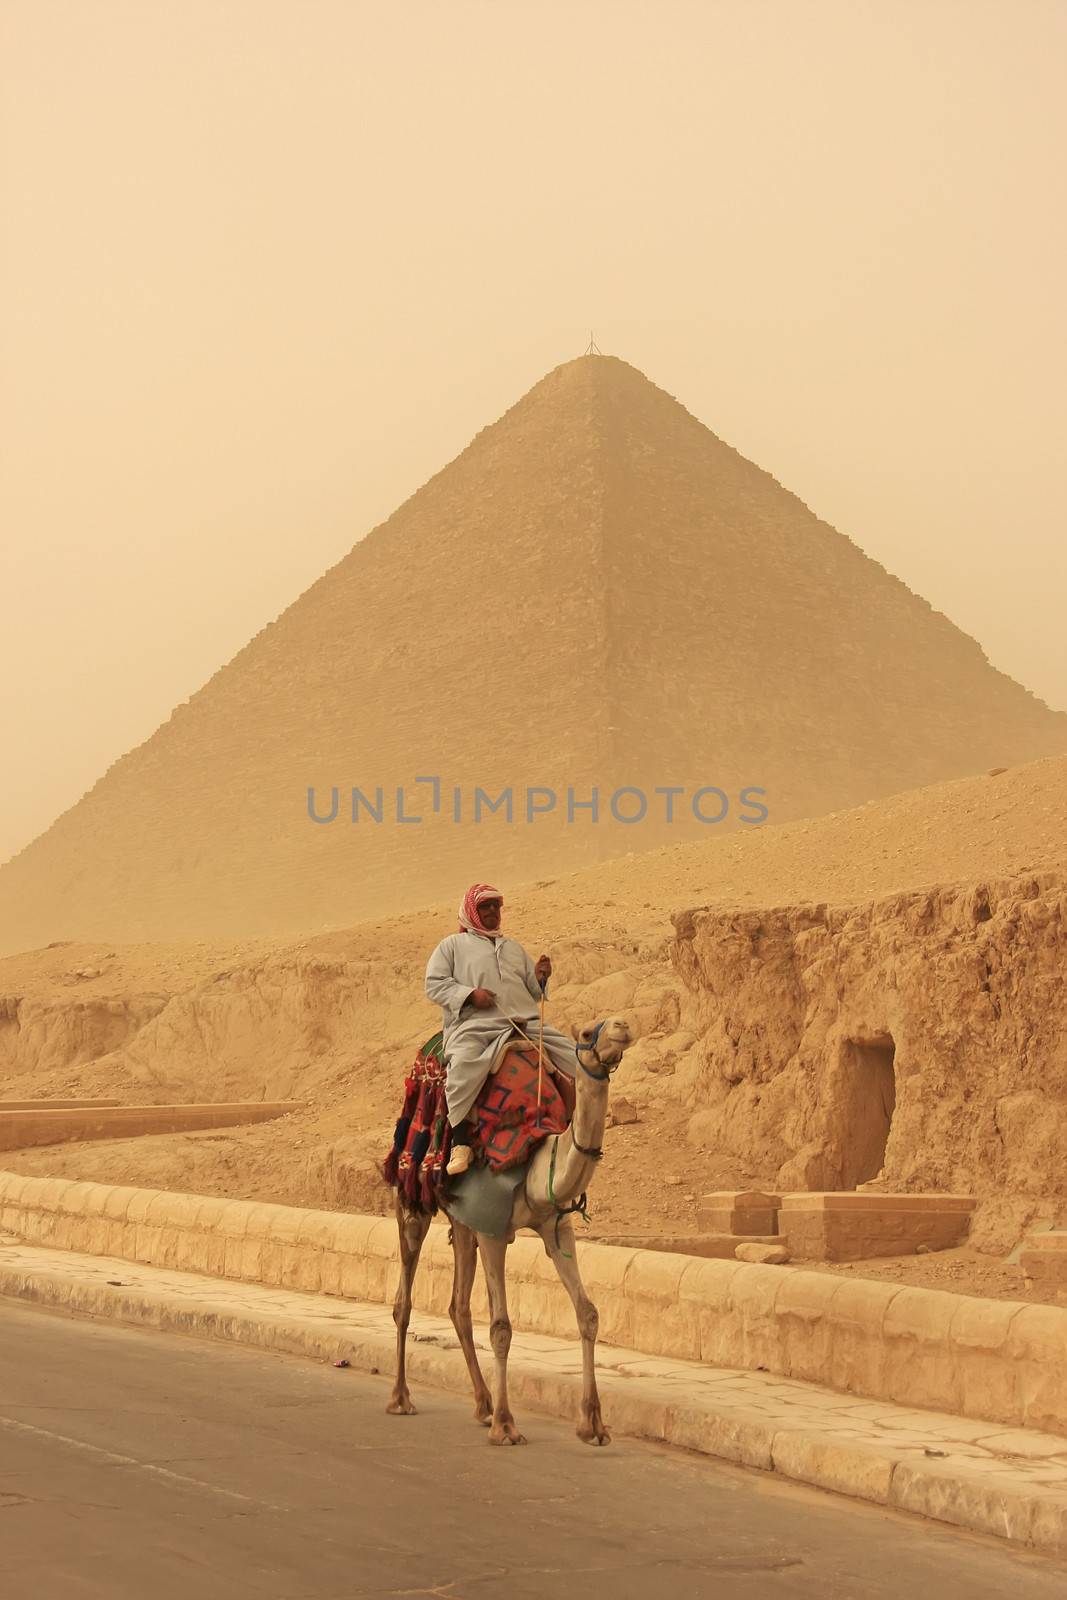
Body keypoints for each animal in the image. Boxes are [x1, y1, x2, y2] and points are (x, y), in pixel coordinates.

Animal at [388, 1017, 630, 1446]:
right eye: (587, 1034)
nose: (621, 1026)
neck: (534, 1158)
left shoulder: (555, 1225)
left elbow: (588, 1313)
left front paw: (594, 1424)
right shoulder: (493, 1229)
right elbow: (501, 1327)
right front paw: (505, 1425)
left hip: (462, 1219)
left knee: (458, 1305)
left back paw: (483, 1404)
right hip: (411, 1195)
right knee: (405, 1298)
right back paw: (402, 1398)